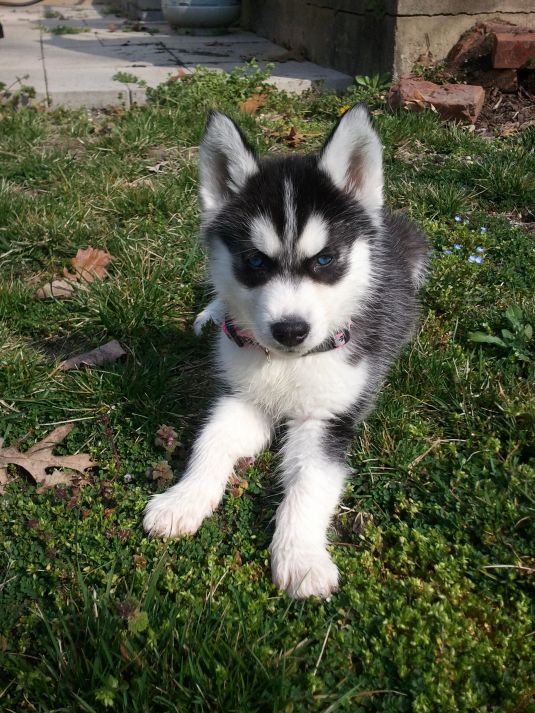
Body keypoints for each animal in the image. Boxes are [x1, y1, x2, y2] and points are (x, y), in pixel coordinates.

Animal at [142, 103, 428, 596]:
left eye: (325, 260)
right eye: (255, 261)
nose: (290, 330)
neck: (286, 364)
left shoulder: (327, 420)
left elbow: (309, 487)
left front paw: (302, 557)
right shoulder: (241, 400)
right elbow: (209, 443)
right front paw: (183, 500)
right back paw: (213, 313)